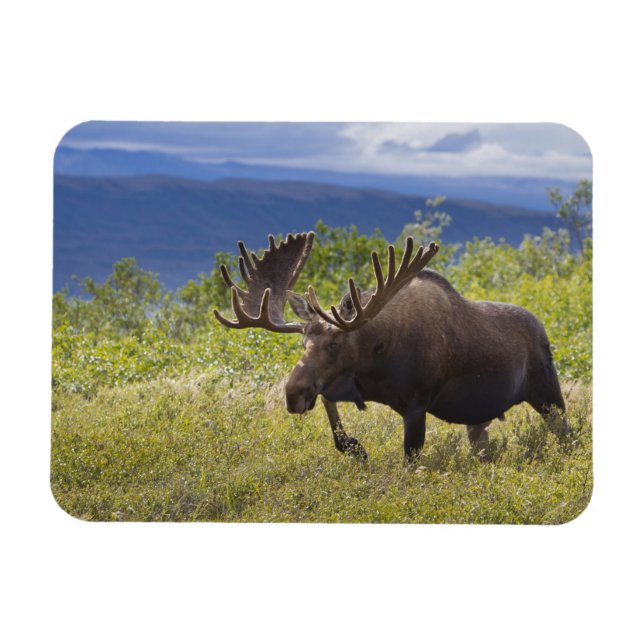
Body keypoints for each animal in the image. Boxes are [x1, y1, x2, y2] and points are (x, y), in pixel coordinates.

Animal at [214, 231, 566, 461]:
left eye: (334, 343)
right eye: (303, 343)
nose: (293, 394)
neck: (375, 360)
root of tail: (544, 332)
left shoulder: (416, 404)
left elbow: (409, 458)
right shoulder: (346, 385)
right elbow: (332, 414)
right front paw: (355, 447)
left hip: (548, 395)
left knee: (567, 434)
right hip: (478, 419)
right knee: (482, 446)